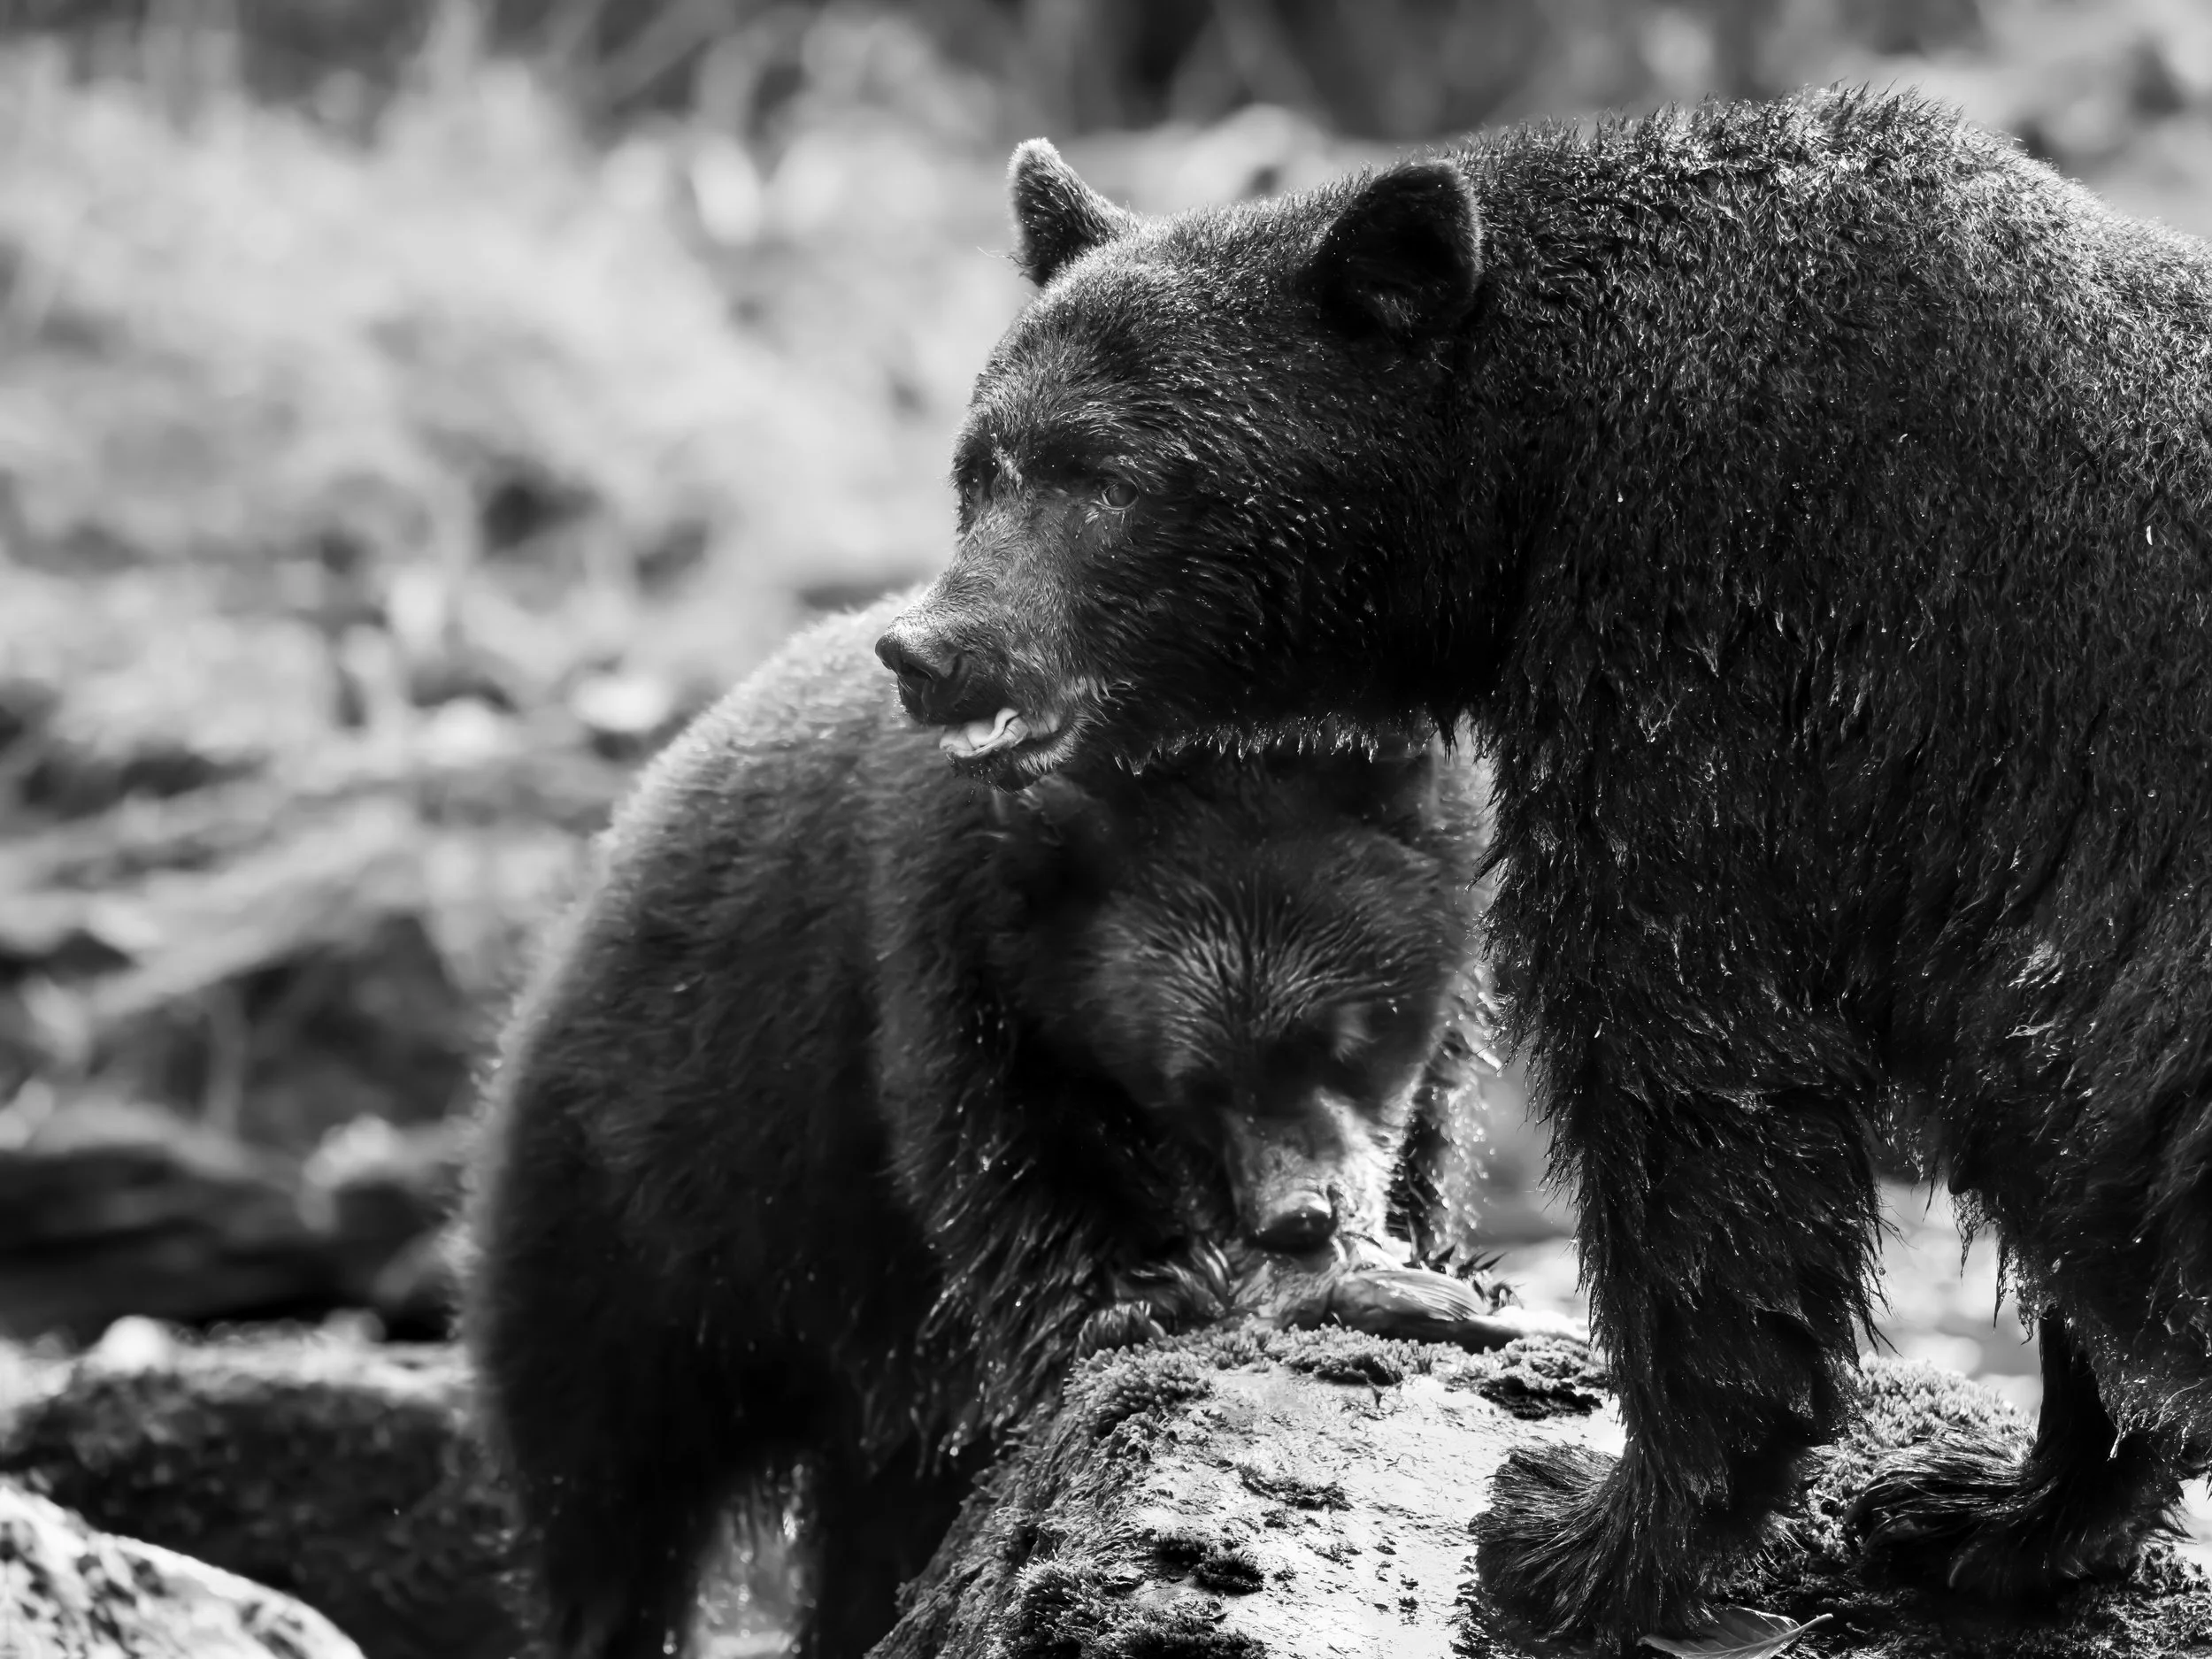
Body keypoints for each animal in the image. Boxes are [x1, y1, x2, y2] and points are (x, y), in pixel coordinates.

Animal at [462, 592, 1515, 1659]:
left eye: (1350, 1036)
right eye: (1193, 1083)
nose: (1297, 1215)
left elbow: (1433, 1109)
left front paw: (1439, 1261)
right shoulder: (954, 913)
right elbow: (992, 1139)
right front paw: (1150, 1296)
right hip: (641, 1204)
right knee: (606, 1485)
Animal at [872, 90, 2212, 1651]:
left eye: (1110, 478)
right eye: (980, 465)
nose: (932, 646)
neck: (1533, 470)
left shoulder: (1721, 642)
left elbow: (1692, 1067)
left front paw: (1577, 1529)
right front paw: (1993, 1504)